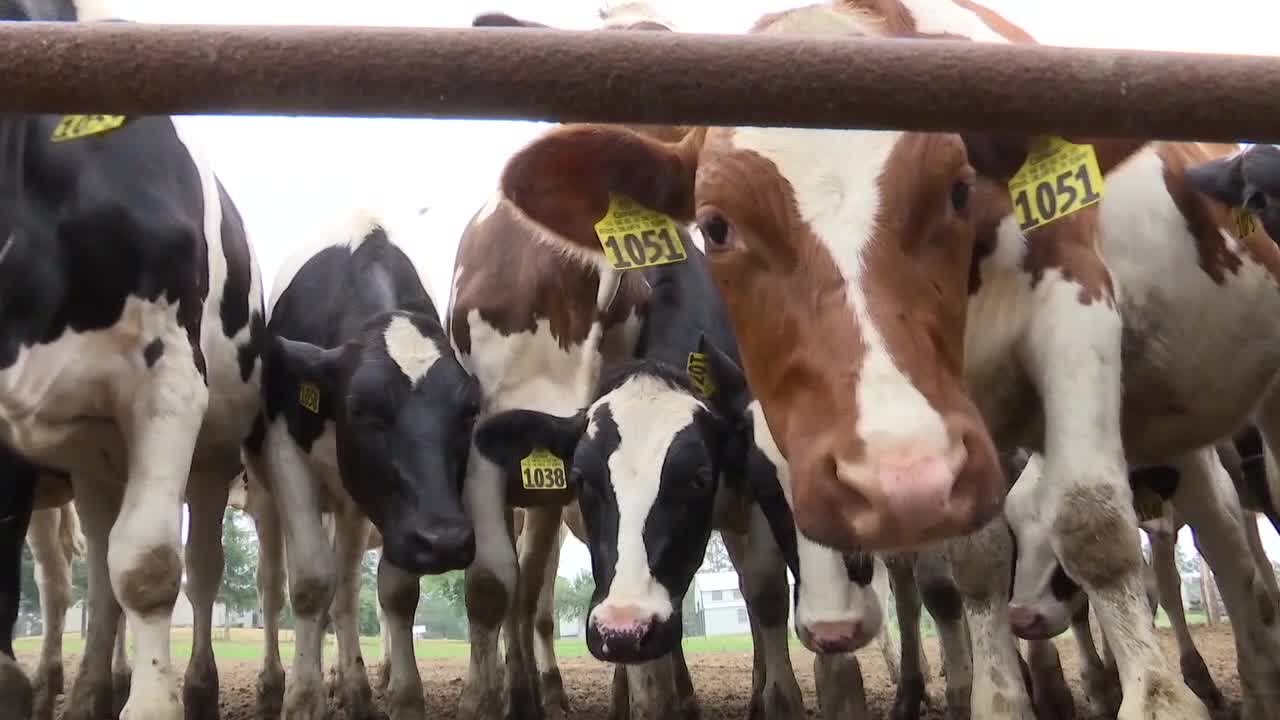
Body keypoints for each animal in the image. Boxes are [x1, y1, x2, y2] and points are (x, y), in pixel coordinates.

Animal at [0, 2, 266, 719]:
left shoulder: (168, 381)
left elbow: (147, 566)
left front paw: (152, 703)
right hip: (94, 459)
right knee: (91, 573)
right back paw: (89, 689)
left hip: (213, 454)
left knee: (199, 567)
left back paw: (195, 687)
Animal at [240, 208, 478, 720]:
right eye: (362, 410)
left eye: (469, 411)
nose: (446, 540)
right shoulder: (286, 453)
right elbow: (310, 582)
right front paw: (302, 698)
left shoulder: (382, 506)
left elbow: (391, 591)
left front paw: (400, 696)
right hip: (266, 496)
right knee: (271, 585)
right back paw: (271, 684)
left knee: (346, 588)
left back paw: (353, 687)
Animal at [481, 1, 1280, 717]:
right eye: (716, 225)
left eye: (959, 189)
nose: (896, 481)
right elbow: (977, 559)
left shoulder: (1074, 301)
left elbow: (1094, 525)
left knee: (1231, 550)